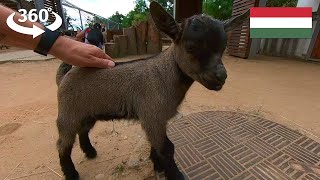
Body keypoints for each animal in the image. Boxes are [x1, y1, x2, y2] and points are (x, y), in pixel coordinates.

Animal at [55, 1, 250, 180]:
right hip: (68, 114)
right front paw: (174, 175)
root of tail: (64, 77)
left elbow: (156, 146)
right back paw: (71, 173)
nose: (221, 77)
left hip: (87, 112)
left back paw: (90, 152)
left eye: (223, 47)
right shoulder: (152, 116)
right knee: (63, 143)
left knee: (83, 131)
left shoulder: (157, 120)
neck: (165, 75)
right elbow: (167, 148)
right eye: (190, 47)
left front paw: (158, 165)